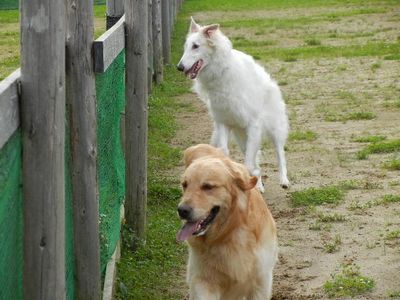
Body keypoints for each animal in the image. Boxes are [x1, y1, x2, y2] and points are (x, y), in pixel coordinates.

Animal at [177, 17, 290, 191]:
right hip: (240, 134)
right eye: (186, 46)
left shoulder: (253, 125)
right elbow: (225, 152)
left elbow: (250, 164)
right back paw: (259, 184)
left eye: (195, 46)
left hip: (274, 128)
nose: (179, 67)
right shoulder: (223, 122)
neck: (222, 73)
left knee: (280, 154)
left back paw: (284, 180)